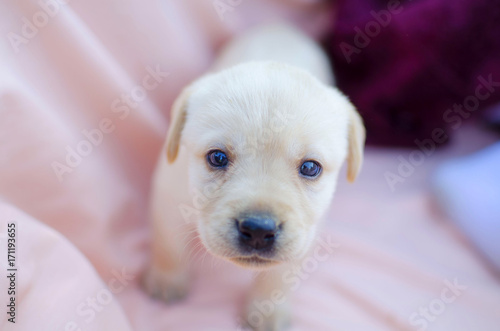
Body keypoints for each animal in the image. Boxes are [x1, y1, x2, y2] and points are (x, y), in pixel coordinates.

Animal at [143, 24, 366, 331]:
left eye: (311, 168)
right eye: (217, 158)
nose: (259, 230)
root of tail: (281, 27)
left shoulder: (307, 231)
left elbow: (278, 276)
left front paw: (267, 309)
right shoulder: (167, 197)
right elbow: (168, 245)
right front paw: (167, 280)